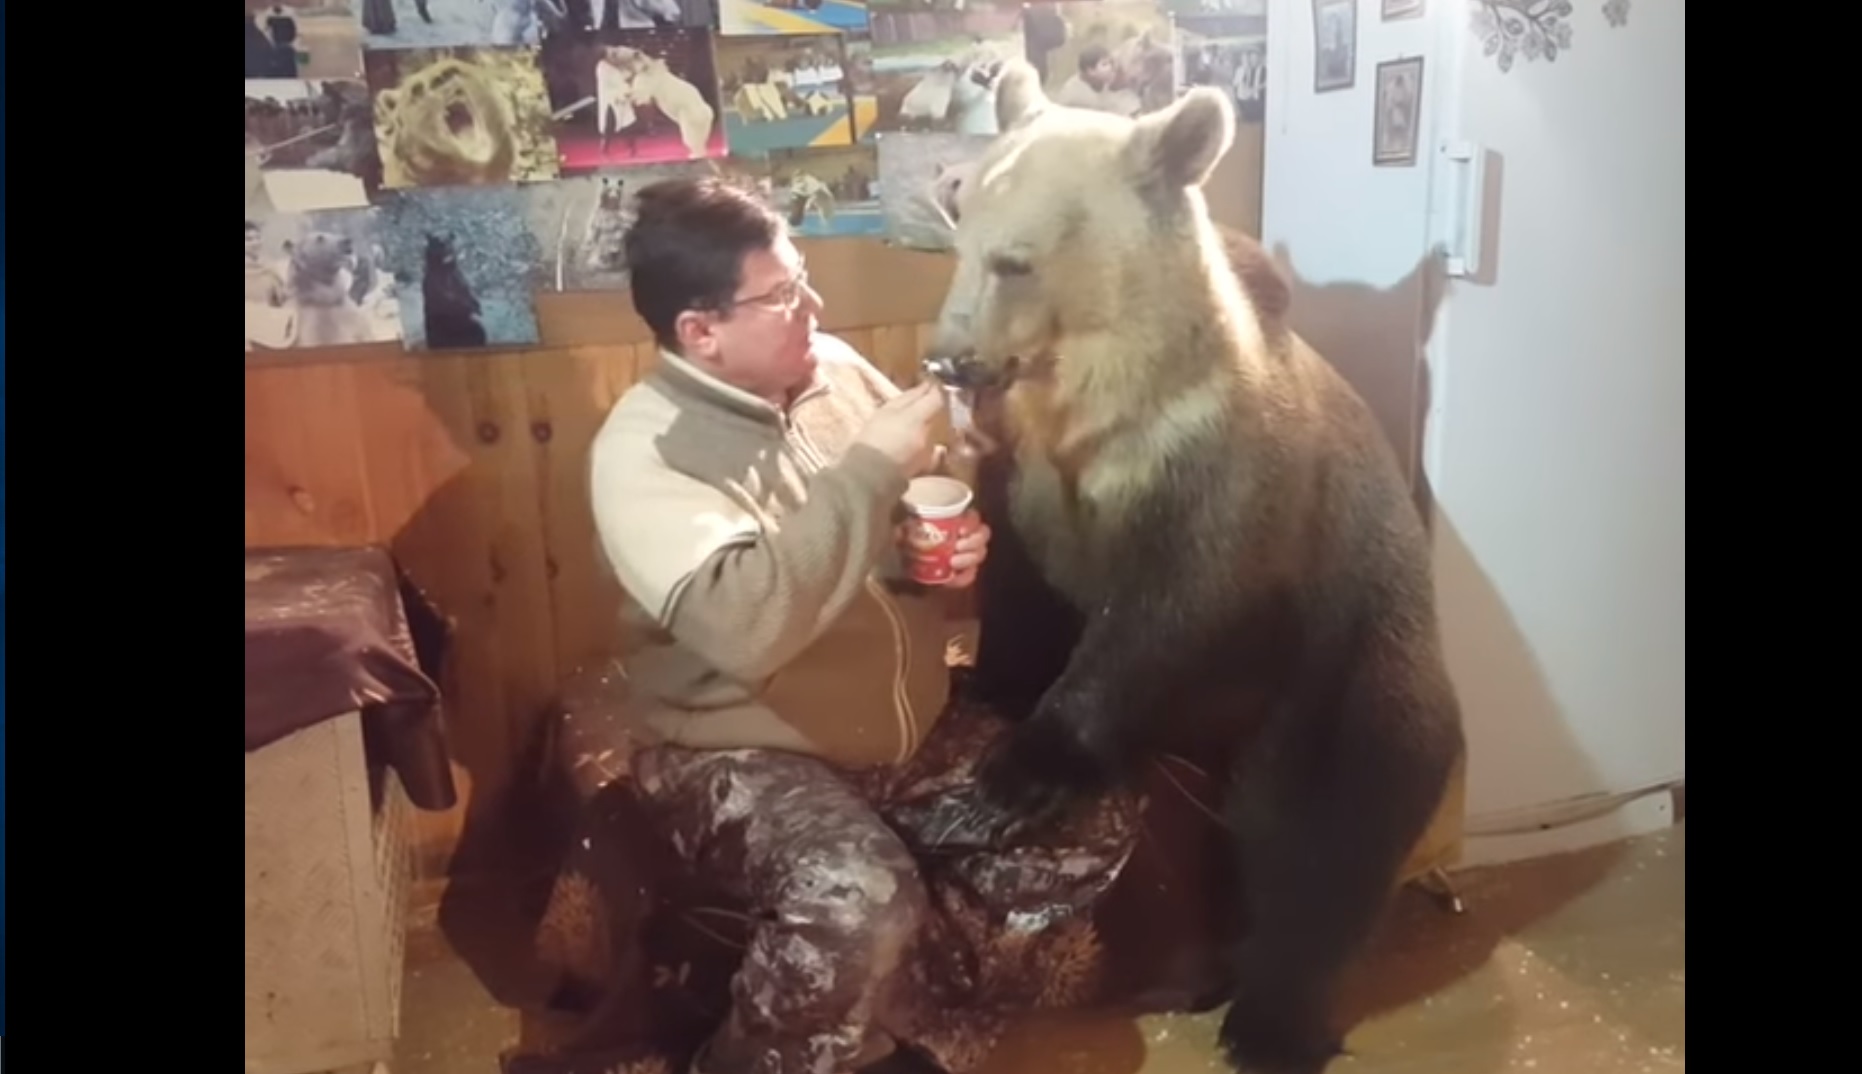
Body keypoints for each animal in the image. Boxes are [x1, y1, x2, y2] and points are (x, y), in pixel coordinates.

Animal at [923, 60, 1459, 1072]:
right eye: (956, 218)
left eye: (1017, 259)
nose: (949, 358)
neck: (1097, 410)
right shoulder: (1033, 476)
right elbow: (1022, 591)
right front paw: (988, 685)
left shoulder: (1217, 488)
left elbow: (1161, 623)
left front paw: (1009, 779)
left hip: (1351, 675)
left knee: (1327, 843)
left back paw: (1270, 1021)